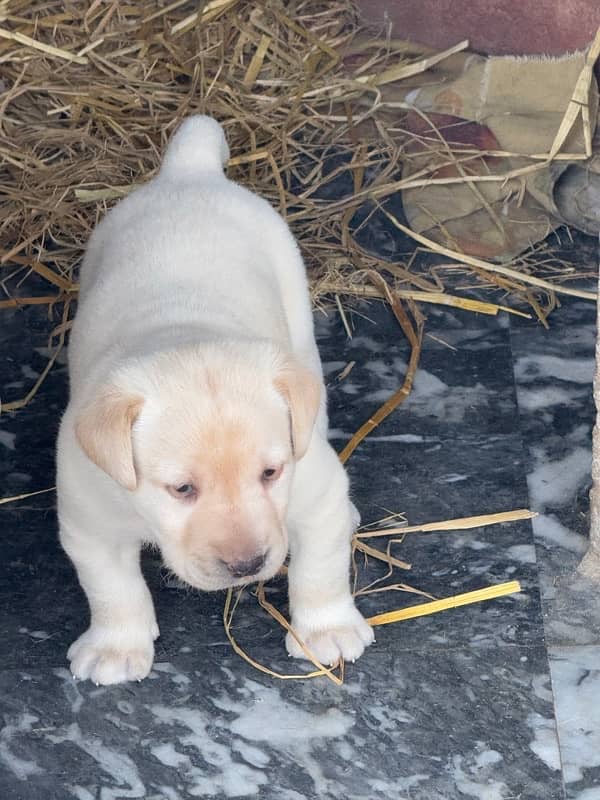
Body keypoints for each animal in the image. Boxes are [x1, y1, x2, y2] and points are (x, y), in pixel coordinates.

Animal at [57, 115, 376, 684]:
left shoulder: (312, 487)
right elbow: (112, 588)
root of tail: (190, 172)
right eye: (182, 489)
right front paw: (116, 647)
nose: (246, 566)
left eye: (270, 473)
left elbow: (321, 567)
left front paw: (328, 631)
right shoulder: (88, 518)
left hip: (298, 324)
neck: (183, 333)